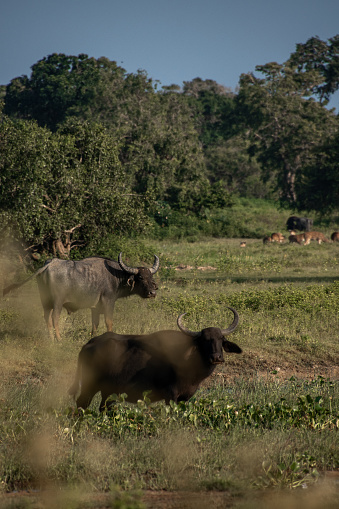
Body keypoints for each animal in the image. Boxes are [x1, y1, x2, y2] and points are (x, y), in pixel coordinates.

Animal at [2, 252, 159, 340]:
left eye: (150, 277)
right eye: (140, 277)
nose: (153, 292)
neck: (116, 276)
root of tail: (50, 264)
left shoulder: (95, 308)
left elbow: (95, 324)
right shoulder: (108, 301)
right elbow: (109, 322)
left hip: (45, 301)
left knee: (46, 318)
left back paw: (51, 339)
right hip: (57, 302)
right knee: (55, 318)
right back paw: (59, 340)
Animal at [68, 306, 242, 408]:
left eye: (221, 340)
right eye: (204, 340)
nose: (217, 357)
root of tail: (90, 343)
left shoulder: (184, 398)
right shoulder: (170, 396)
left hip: (108, 391)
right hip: (91, 385)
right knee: (82, 403)